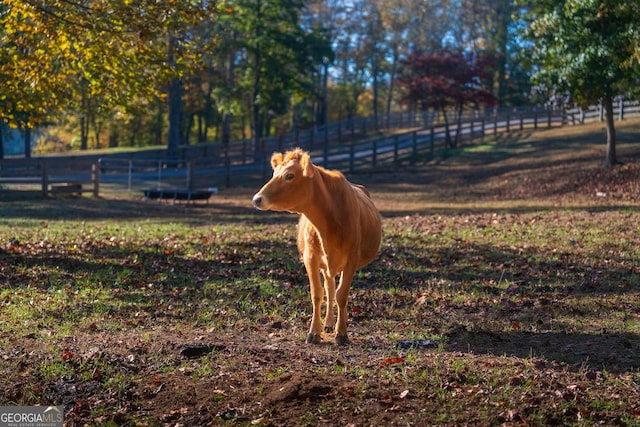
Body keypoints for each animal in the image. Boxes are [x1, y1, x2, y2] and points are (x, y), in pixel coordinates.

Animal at [250, 149, 380, 346]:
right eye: (274, 173)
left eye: (290, 175)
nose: (257, 199)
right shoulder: (310, 258)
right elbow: (317, 294)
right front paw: (313, 333)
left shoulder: (352, 258)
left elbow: (342, 295)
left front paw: (342, 334)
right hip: (325, 266)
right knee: (329, 288)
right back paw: (328, 323)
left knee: (335, 290)